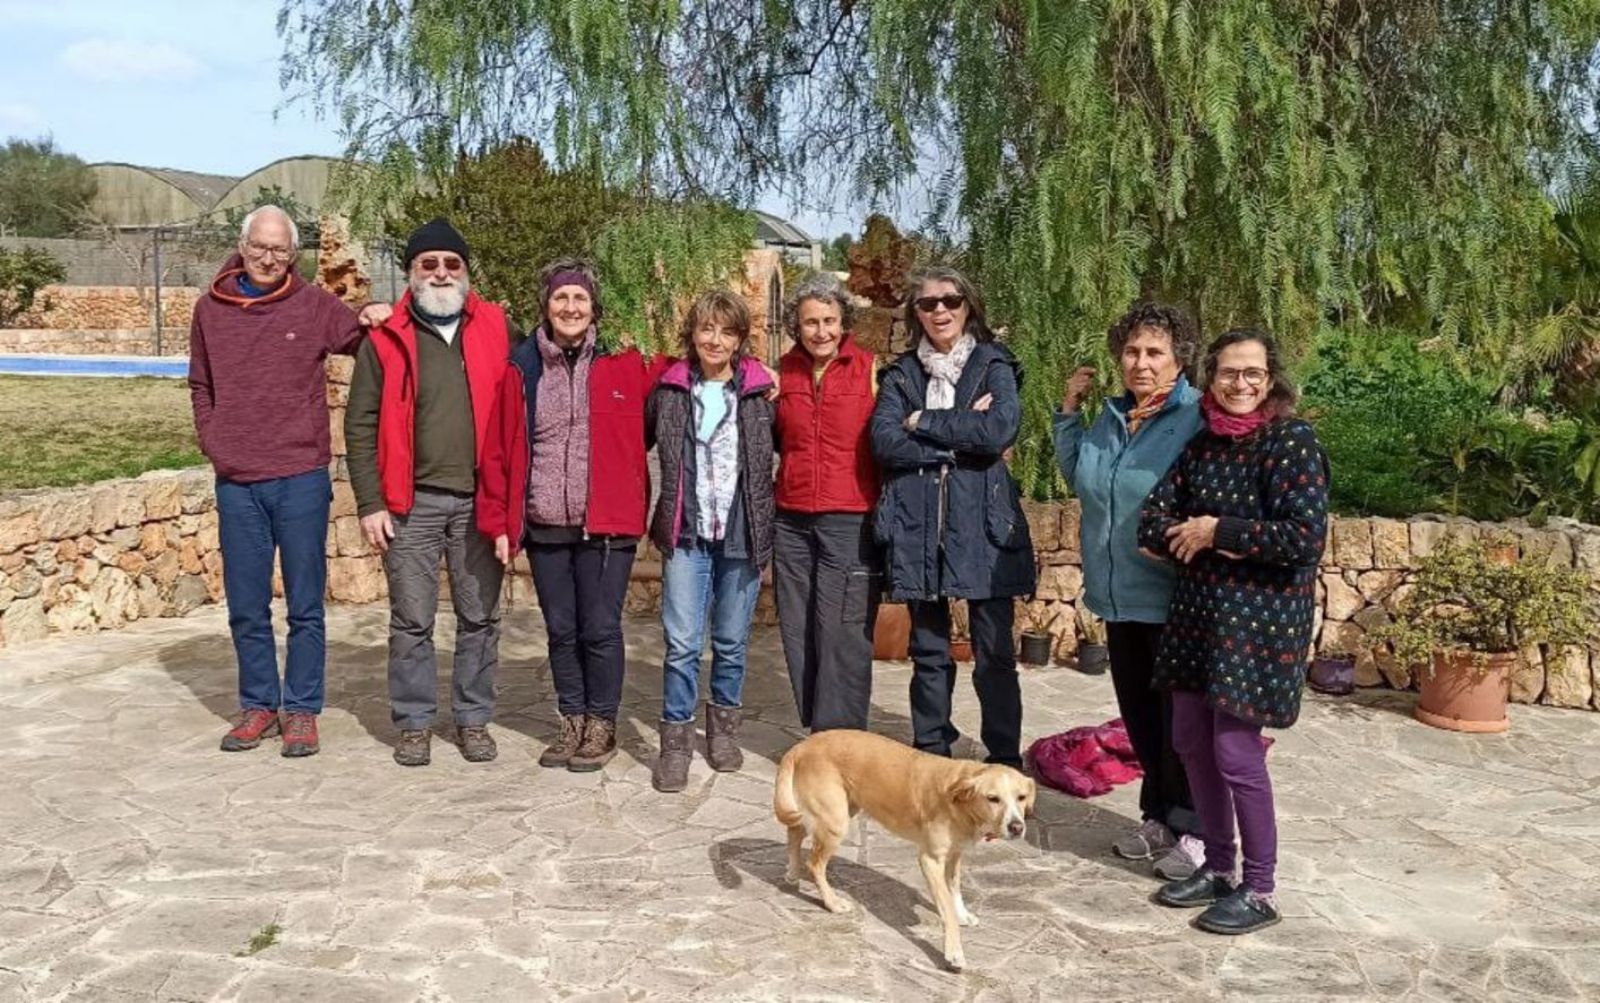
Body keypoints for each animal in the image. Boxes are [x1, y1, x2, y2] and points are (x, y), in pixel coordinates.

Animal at [771, 729, 1036, 972]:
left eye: (1021, 797)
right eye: (993, 798)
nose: (1016, 827)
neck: (961, 803)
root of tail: (803, 745)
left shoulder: (954, 855)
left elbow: (955, 889)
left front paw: (962, 914)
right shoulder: (930, 860)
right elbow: (947, 910)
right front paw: (954, 953)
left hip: (843, 809)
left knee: (794, 831)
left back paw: (792, 872)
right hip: (835, 821)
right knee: (814, 863)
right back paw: (832, 902)